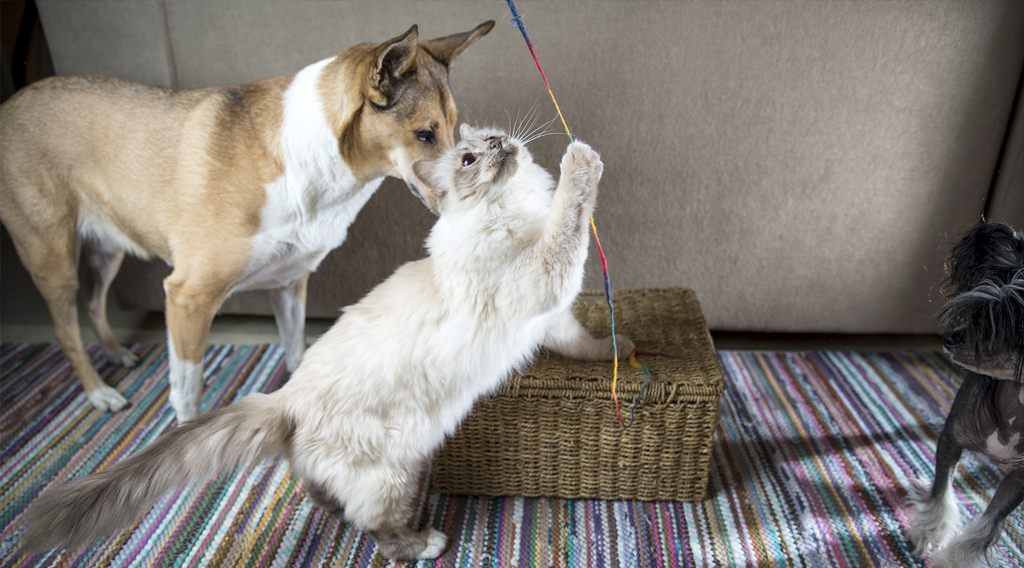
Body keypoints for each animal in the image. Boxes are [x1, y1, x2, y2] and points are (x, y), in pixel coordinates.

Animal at [0, 22, 495, 421]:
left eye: (457, 129)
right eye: (424, 135)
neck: (306, 160)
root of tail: (11, 102)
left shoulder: (289, 284)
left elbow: (297, 351)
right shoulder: (188, 298)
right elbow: (187, 393)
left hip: (108, 247)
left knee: (93, 303)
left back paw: (116, 352)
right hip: (52, 257)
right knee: (65, 329)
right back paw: (99, 392)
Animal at [19, 123, 630, 560]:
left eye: (494, 139)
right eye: (469, 160)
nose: (502, 145)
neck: (510, 211)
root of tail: (284, 399)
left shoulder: (552, 319)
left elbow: (588, 343)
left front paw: (625, 352)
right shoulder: (545, 277)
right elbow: (569, 217)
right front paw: (582, 159)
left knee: (315, 490)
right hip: (397, 470)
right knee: (377, 529)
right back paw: (427, 543)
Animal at [913, 222, 1024, 568]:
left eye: (1004, 322)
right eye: (978, 312)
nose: (950, 338)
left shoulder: (1019, 479)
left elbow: (987, 526)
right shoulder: (951, 439)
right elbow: (941, 493)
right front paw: (930, 536)